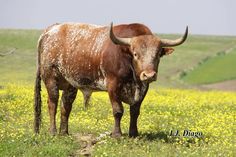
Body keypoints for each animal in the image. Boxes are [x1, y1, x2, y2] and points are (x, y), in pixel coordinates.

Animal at [33, 22, 188, 137]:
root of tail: (50, 30)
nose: (149, 75)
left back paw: (64, 132)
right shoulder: (113, 85)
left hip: (70, 84)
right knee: (52, 103)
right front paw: (117, 134)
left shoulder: (143, 89)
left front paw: (134, 133)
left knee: (65, 106)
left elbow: (135, 111)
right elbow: (118, 110)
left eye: (157, 55)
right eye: (135, 54)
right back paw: (53, 132)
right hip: (50, 78)